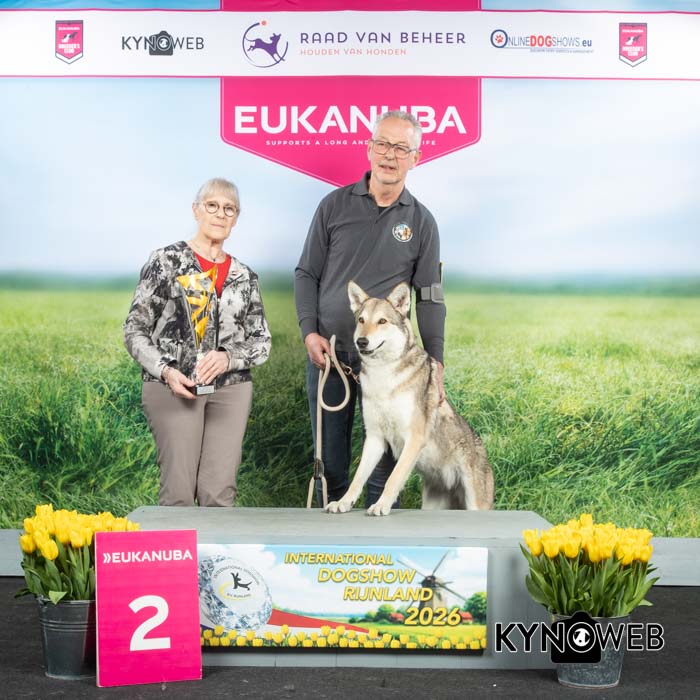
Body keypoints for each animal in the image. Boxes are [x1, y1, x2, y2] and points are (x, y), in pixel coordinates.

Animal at [326, 281, 494, 517]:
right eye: (361, 320)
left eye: (382, 321)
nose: (361, 341)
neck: (383, 374)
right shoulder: (375, 438)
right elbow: (358, 478)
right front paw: (343, 502)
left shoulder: (414, 438)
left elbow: (393, 478)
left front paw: (380, 505)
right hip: (432, 503)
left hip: (475, 505)